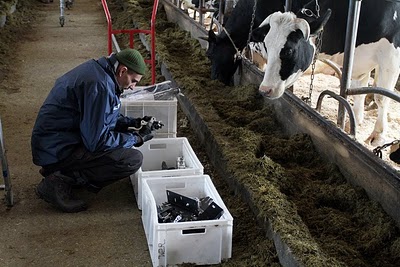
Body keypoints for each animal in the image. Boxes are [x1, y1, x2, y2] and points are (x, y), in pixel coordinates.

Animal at [253, 0, 400, 147]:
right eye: (266, 46)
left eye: (289, 51)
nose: (265, 90)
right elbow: (359, 91)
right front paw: (353, 123)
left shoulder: (391, 57)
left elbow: (381, 97)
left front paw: (378, 135)